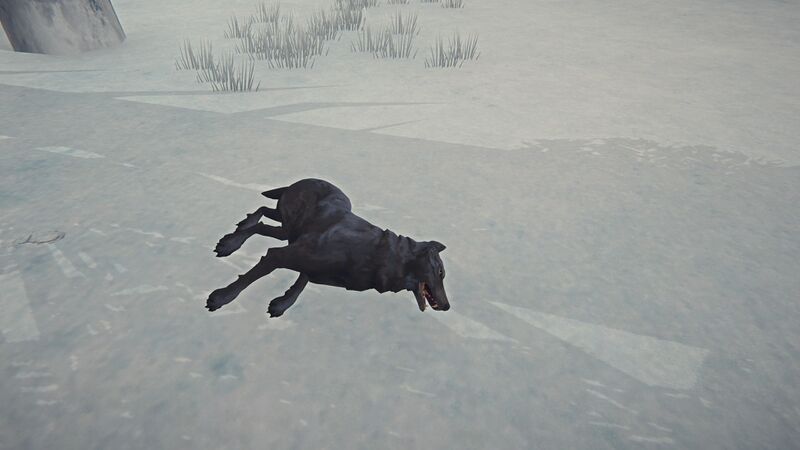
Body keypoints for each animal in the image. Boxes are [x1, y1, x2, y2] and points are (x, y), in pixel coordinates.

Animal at [206, 178, 450, 317]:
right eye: (440, 272)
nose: (447, 306)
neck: (379, 254)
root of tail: (306, 179)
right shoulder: (281, 255)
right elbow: (248, 278)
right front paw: (222, 297)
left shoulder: (308, 262)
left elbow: (302, 280)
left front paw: (283, 303)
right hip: (288, 224)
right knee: (261, 217)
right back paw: (231, 242)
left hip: (288, 230)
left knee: (263, 219)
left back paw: (236, 235)